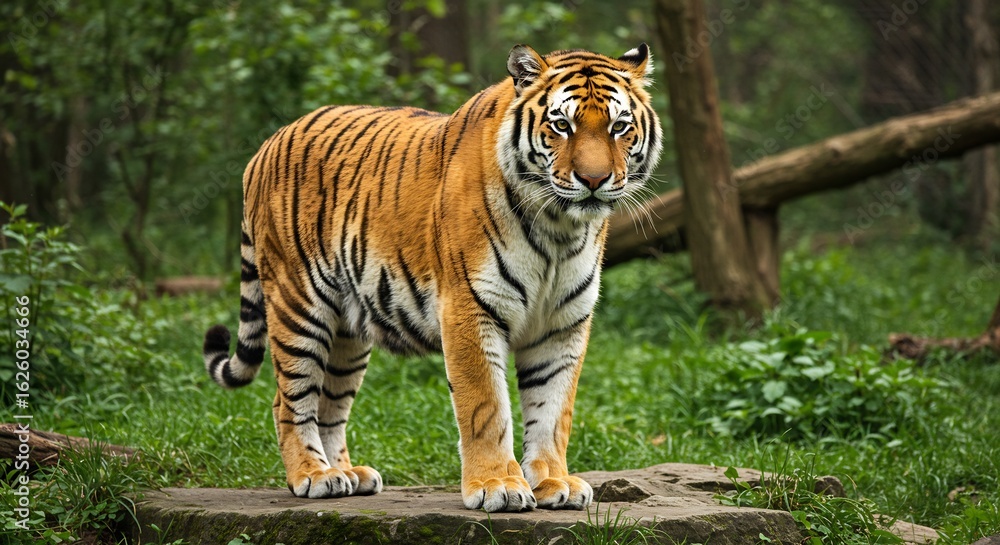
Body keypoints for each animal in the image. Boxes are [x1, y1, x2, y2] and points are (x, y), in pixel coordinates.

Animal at [202, 43, 663, 513]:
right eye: (561, 126)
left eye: (619, 127)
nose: (594, 180)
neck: (559, 228)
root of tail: (267, 144)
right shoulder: (469, 308)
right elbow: (486, 406)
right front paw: (497, 485)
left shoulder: (563, 323)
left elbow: (553, 411)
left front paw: (554, 482)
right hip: (298, 304)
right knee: (288, 399)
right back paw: (313, 475)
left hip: (348, 331)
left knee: (330, 403)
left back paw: (347, 474)